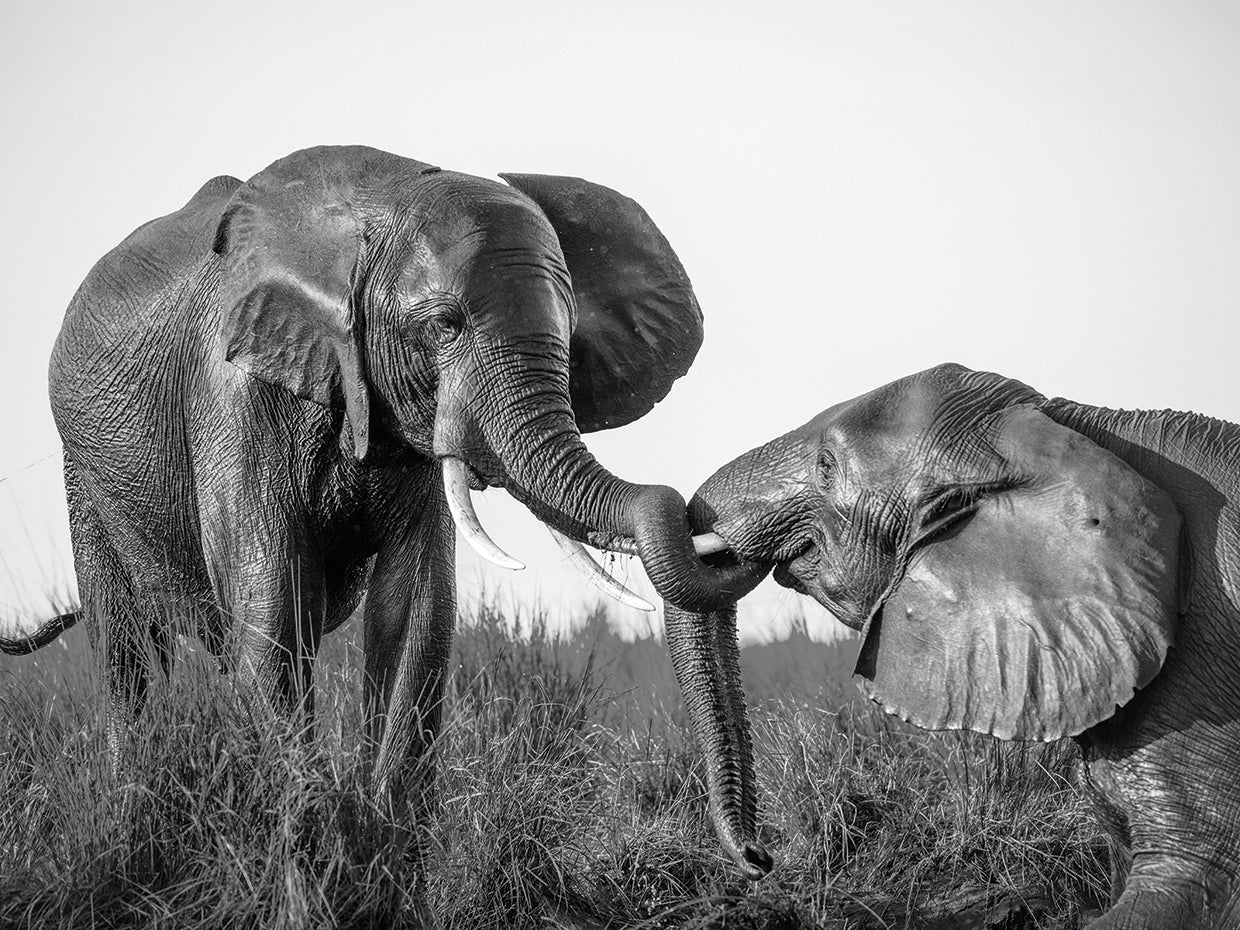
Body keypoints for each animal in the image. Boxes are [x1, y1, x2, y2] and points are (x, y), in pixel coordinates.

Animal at [3, 146, 763, 827]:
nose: (755, 854)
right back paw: (132, 798)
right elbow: (271, 599)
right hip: (83, 475)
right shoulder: (232, 391)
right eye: (444, 326)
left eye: (570, 333)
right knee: (124, 649)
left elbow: (413, 611)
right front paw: (300, 832)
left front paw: (384, 834)